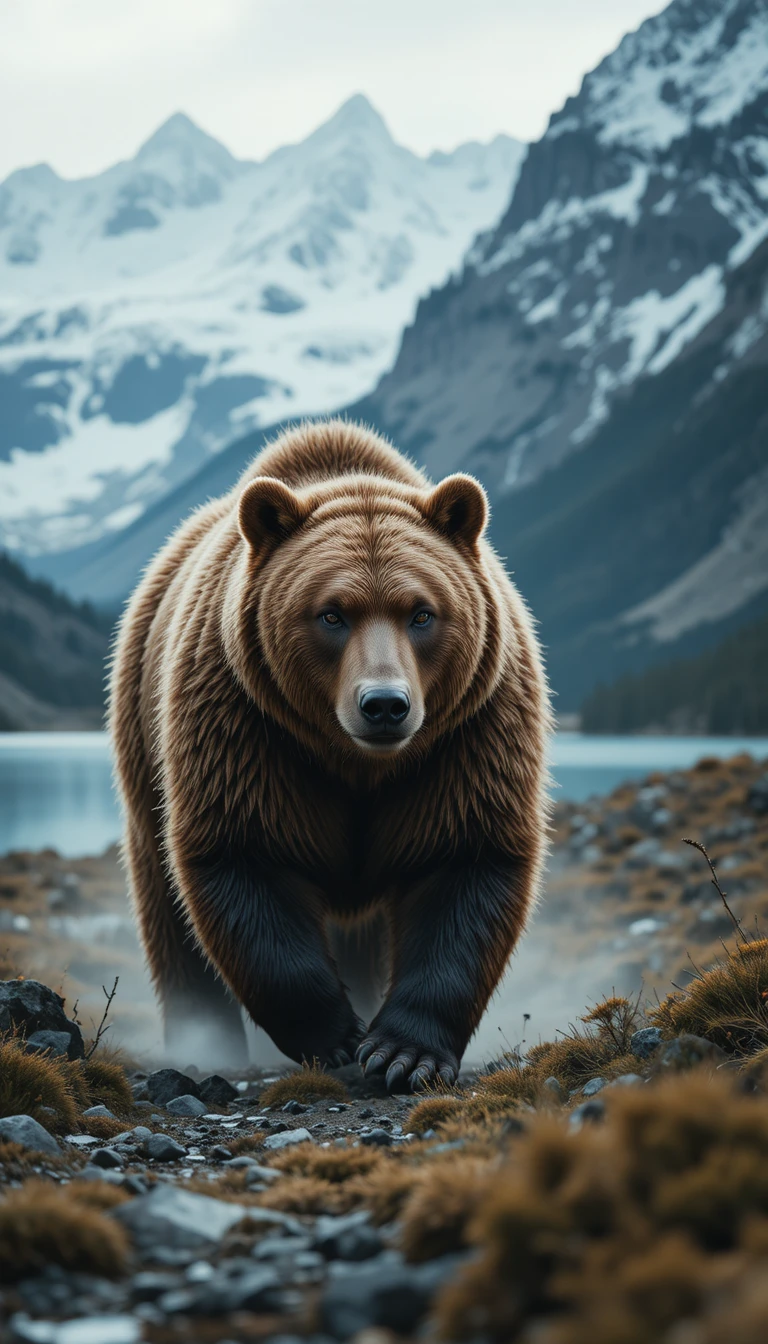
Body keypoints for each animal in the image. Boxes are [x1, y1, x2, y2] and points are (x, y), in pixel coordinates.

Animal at [109, 418, 551, 1090]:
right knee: (169, 914)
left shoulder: (468, 736)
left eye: (422, 612)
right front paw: (337, 1034)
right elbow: (243, 855)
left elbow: (466, 861)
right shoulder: (246, 727)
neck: (357, 763)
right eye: (331, 614)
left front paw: (403, 1052)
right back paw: (204, 1042)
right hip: (143, 741)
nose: (385, 705)